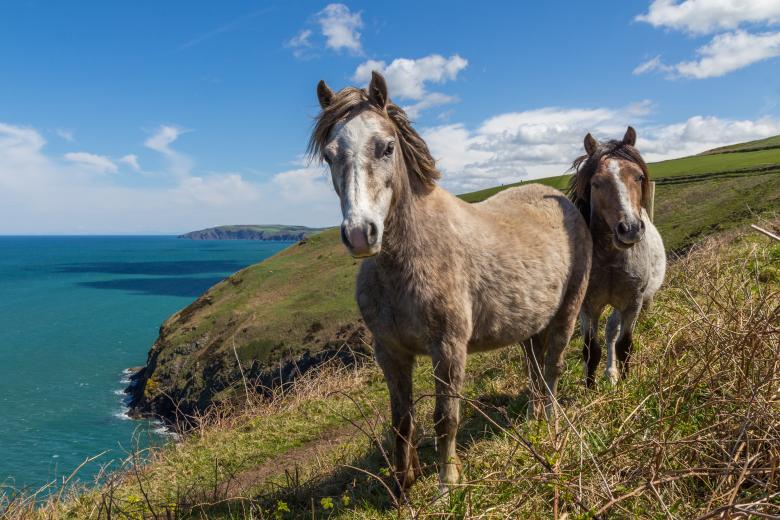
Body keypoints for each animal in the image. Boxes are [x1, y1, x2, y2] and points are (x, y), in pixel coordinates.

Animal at [309, 71, 592, 493]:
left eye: (387, 147)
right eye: (329, 155)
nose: (360, 234)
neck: (406, 261)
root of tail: (561, 200)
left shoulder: (448, 348)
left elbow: (446, 417)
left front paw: (447, 486)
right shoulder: (390, 353)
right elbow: (401, 421)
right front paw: (402, 486)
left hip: (567, 313)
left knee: (554, 368)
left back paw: (553, 424)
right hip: (529, 326)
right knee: (536, 370)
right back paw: (535, 419)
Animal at [568, 127, 666, 387]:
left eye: (639, 177)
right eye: (596, 183)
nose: (629, 229)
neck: (611, 260)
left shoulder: (633, 303)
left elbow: (624, 345)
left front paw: (627, 382)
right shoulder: (589, 307)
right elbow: (591, 351)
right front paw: (589, 389)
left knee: (612, 331)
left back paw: (612, 373)